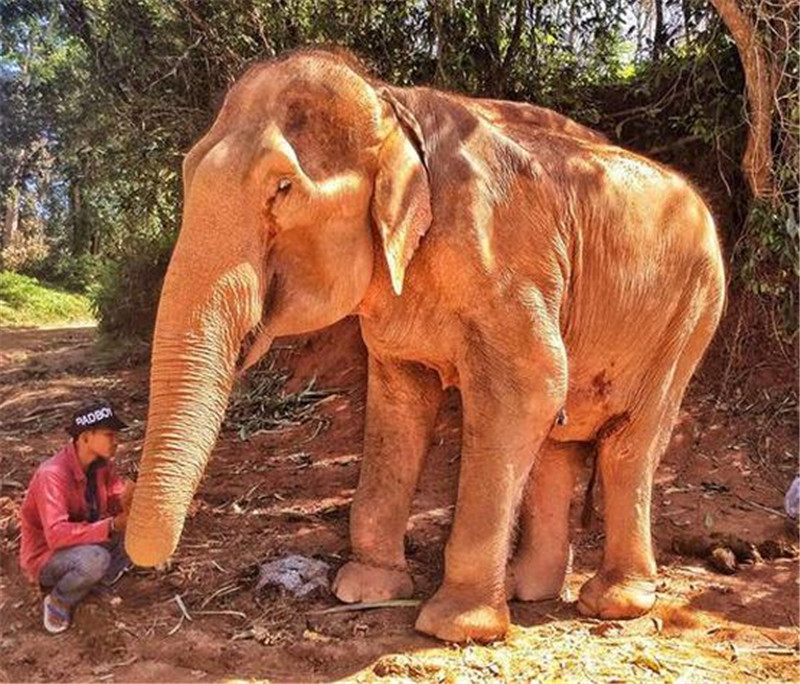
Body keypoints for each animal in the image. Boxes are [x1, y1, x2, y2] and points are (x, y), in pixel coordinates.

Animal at [125, 46, 724, 640]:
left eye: (282, 188)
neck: (393, 105)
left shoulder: (505, 261)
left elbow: (529, 389)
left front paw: (453, 629)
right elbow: (399, 403)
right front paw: (363, 591)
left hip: (691, 314)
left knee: (628, 444)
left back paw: (613, 603)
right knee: (563, 437)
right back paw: (530, 590)